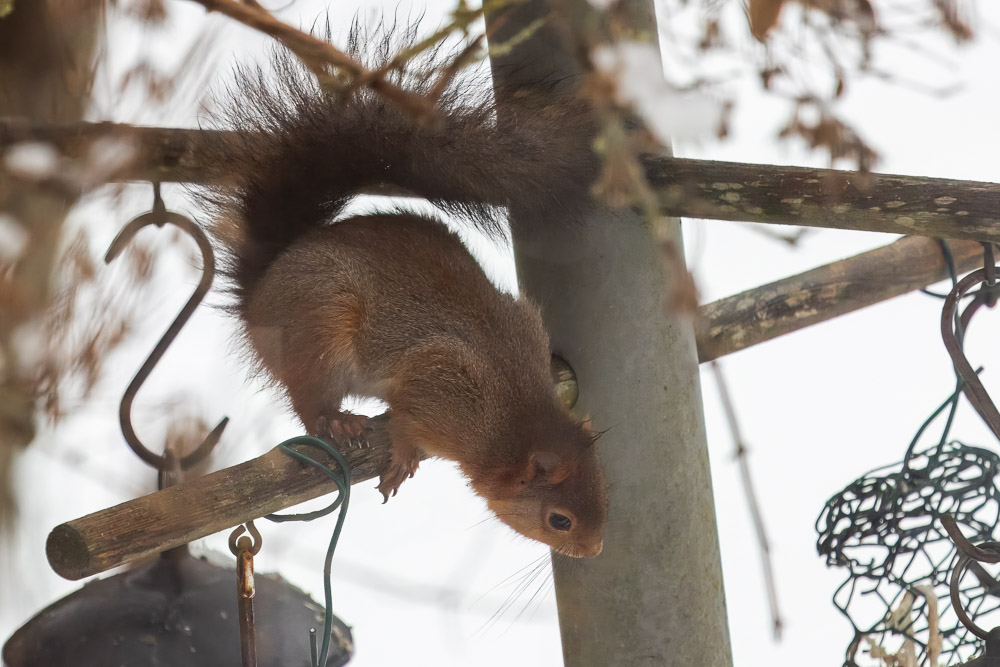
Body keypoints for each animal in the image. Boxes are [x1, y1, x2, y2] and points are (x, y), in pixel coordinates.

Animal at [207, 26, 604, 560]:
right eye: (558, 520)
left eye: (605, 491)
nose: (595, 549)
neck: (509, 411)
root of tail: (259, 295)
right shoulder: (437, 382)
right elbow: (406, 420)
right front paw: (403, 455)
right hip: (321, 321)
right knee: (309, 398)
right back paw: (336, 420)